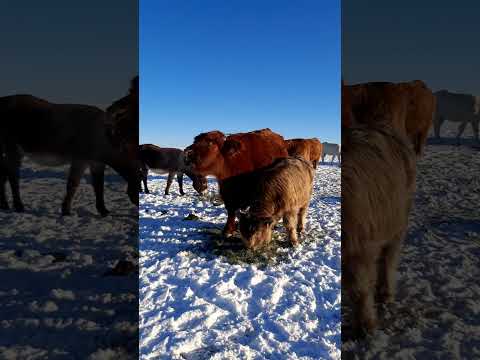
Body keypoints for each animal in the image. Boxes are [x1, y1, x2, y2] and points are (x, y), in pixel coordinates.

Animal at [0, 94, 139, 215]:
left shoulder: (97, 163)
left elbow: (99, 186)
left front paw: (103, 211)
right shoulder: (80, 159)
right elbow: (73, 184)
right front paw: (66, 210)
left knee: (4, 174)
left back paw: (5, 205)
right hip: (13, 148)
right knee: (13, 176)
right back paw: (18, 206)